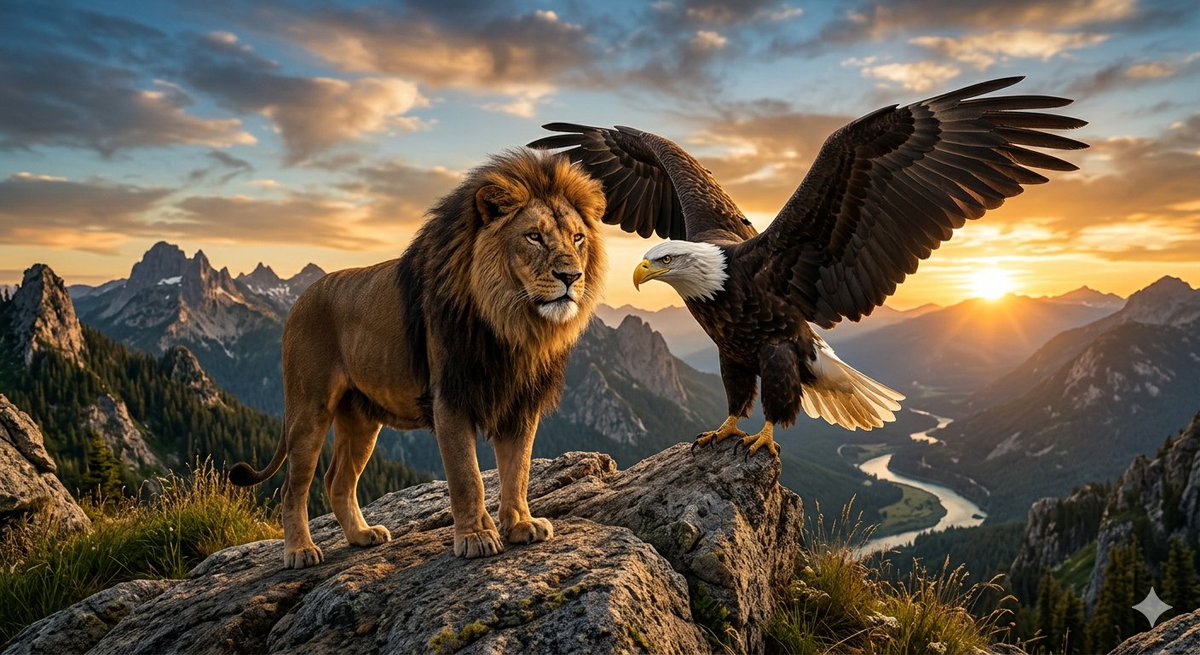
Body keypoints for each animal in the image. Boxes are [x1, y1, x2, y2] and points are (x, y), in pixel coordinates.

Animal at [229, 149, 606, 569]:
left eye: (577, 238)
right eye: (534, 236)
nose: (571, 276)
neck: (511, 323)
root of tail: (300, 300)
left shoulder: (519, 402)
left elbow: (519, 470)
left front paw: (522, 524)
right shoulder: (450, 398)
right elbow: (467, 477)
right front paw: (476, 537)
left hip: (361, 419)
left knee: (336, 480)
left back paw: (362, 535)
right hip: (308, 409)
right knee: (294, 488)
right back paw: (300, 551)